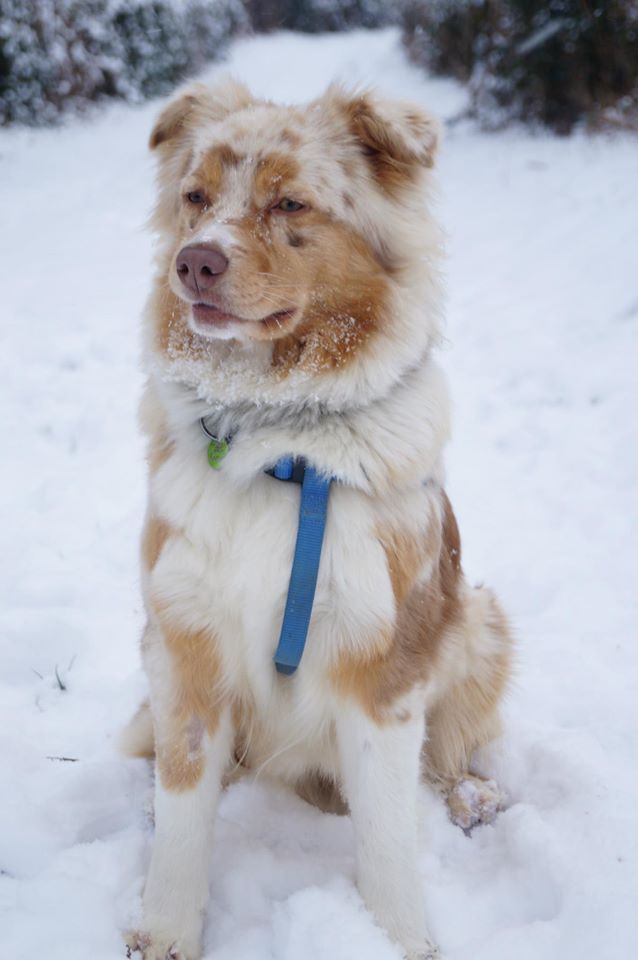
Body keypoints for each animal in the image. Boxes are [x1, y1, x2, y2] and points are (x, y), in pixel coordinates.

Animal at [124, 79, 516, 960]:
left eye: (289, 202)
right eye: (195, 198)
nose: (193, 261)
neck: (279, 440)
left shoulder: (383, 664)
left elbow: (388, 834)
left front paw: (400, 938)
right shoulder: (184, 640)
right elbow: (182, 813)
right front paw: (165, 931)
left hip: (478, 620)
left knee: (451, 756)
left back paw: (473, 797)